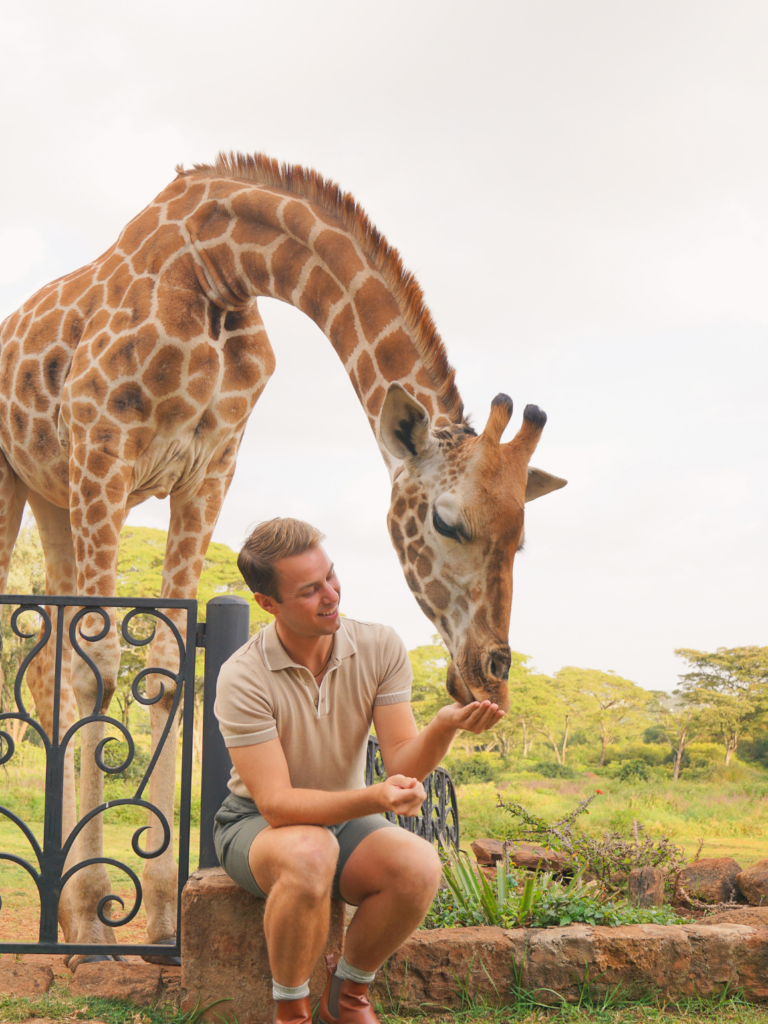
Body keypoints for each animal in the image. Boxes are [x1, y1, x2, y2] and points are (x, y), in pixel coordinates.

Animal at [0, 151, 565, 958]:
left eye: (523, 535)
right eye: (446, 522)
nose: (489, 676)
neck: (217, 267)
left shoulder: (209, 467)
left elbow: (165, 672)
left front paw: (162, 915)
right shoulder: (104, 443)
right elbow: (99, 671)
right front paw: (96, 919)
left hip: (52, 495)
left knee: (46, 660)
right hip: (23, 478)